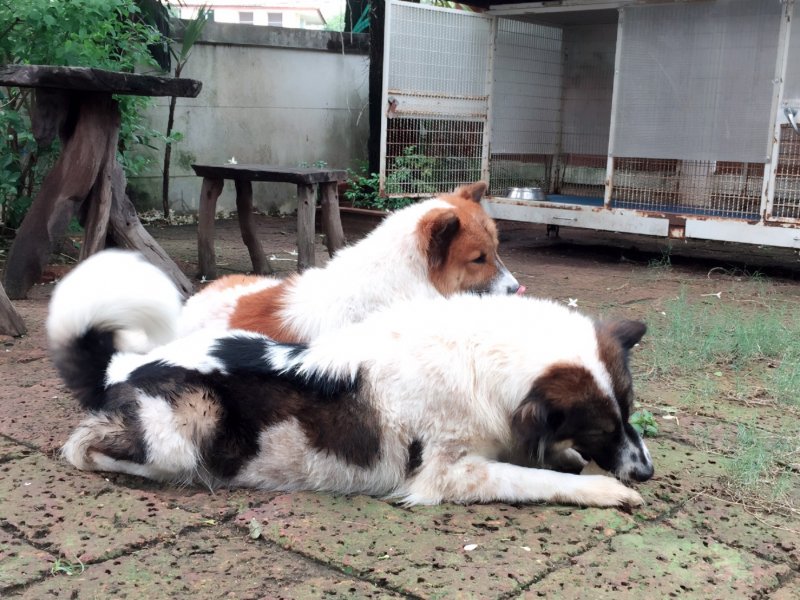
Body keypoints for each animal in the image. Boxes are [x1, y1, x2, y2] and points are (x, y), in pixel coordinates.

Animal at [48, 260, 653, 508]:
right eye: (602, 426)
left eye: (628, 412)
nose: (646, 472)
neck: (482, 364)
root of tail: (121, 365)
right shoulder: (450, 475)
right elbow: (537, 479)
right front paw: (605, 489)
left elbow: (542, 454)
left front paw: (567, 457)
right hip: (192, 417)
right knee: (80, 447)